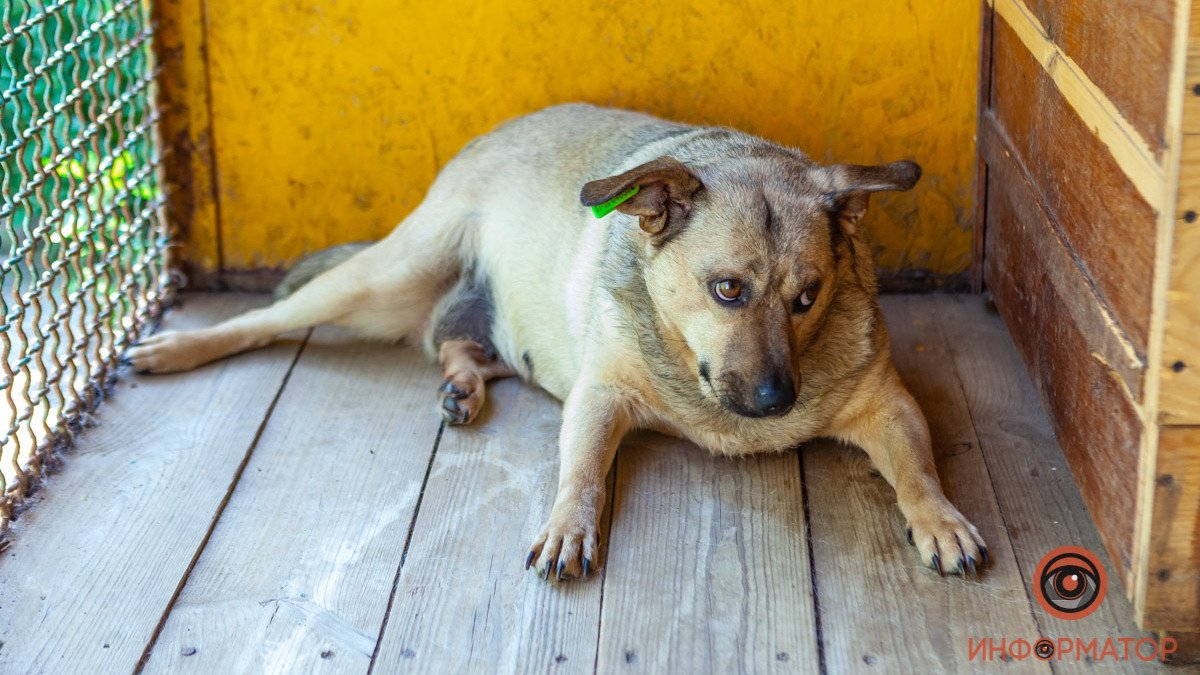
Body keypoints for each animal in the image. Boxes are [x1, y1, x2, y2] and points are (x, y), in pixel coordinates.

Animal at [131, 103, 984, 578]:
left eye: (809, 297)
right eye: (727, 289)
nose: (777, 401)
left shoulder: (888, 403)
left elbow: (918, 467)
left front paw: (940, 517)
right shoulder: (600, 397)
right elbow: (581, 472)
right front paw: (570, 525)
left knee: (465, 345)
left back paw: (463, 382)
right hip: (389, 275)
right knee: (273, 318)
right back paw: (178, 348)